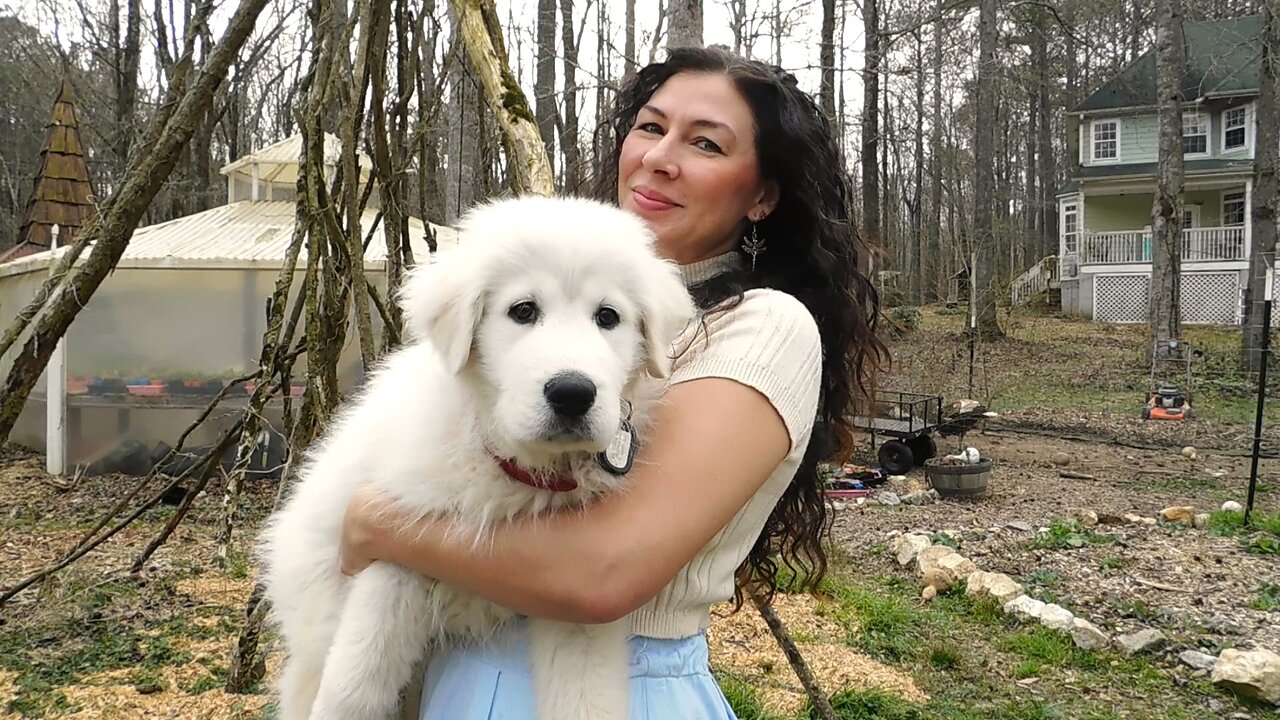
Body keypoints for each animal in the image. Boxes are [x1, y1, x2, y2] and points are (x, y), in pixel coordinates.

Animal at [258, 194, 696, 717]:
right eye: (523, 310)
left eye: (608, 317)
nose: (572, 394)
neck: (513, 464)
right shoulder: (396, 551)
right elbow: (354, 687)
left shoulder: (579, 610)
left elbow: (587, 697)